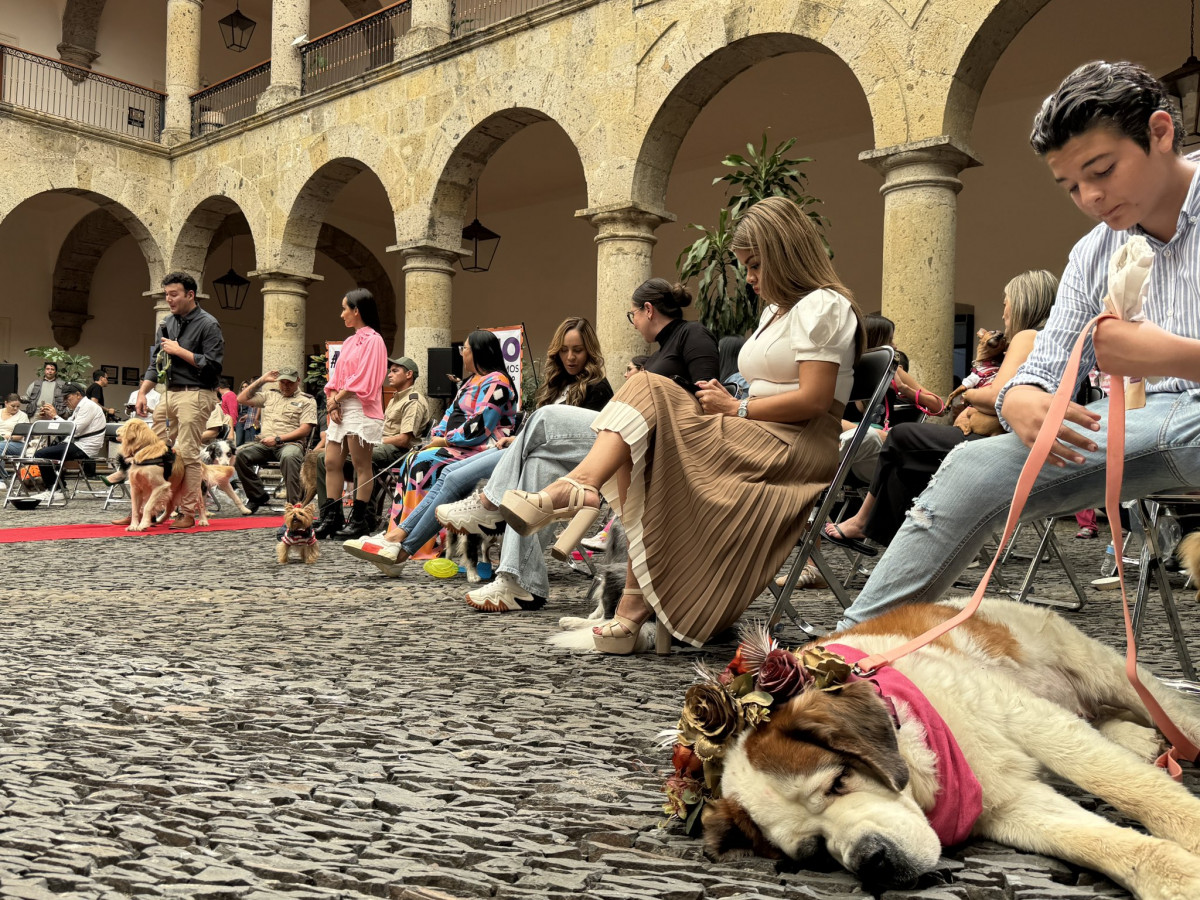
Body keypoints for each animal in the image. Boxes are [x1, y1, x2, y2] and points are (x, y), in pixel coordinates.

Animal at [700, 600, 1200, 900]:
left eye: (839, 782)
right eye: (815, 852)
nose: (872, 860)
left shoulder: (1025, 715)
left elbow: (1122, 783)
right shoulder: (1008, 803)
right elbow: (1090, 839)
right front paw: (1174, 876)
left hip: (1093, 665)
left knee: (1169, 711)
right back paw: (1139, 738)